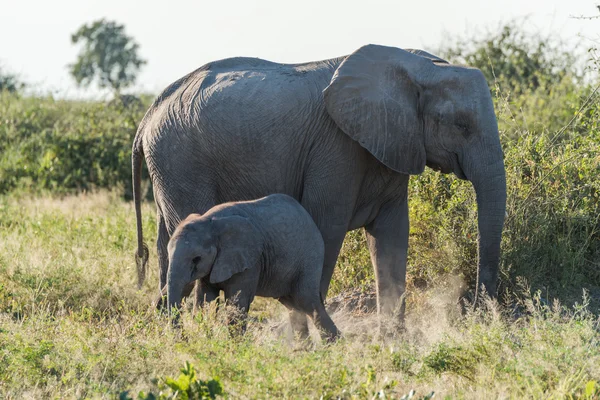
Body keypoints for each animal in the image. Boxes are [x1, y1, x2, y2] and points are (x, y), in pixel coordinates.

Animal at [132, 44, 506, 324]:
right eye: (460, 125)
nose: (477, 312)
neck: (418, 66)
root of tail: (148, 115)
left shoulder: (392, 143)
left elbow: (393, 234)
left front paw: (392, 343)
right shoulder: (336, 148)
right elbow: (327, 228)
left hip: (169, 166)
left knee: (169, 245)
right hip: (181, 161)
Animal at [166, 193, 340, 340]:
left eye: (196, 259)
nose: (184, 339)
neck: (209, 222)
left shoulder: (249, 261)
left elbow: (237, 302)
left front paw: (235, 347)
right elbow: (204, 299)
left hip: (309, 256)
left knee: (307, 300)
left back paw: (333, 345)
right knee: (293, 305)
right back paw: (304, 350)